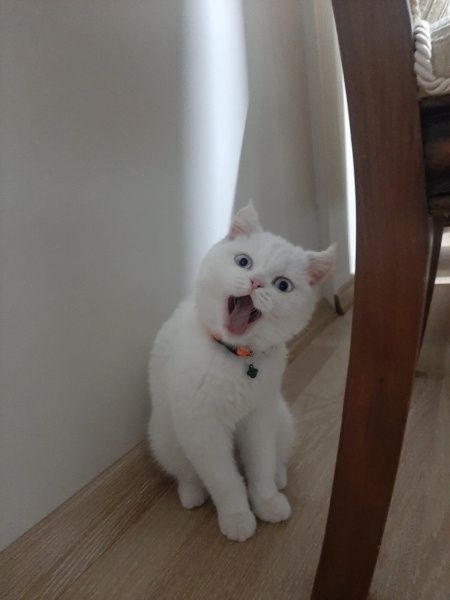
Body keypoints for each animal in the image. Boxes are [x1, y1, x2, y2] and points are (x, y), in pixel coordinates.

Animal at [148, 203, 334, 544]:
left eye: (283, 285)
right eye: (243, 262)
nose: (257, 281)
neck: (235, 357)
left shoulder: (259, 419)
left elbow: (260, 467)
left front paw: (267, 502)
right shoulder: (203, 429)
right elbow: (225, 481)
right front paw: (237, 517)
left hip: (281, 419)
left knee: (275, 459)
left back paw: (279, 479)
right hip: (165, 437)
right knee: (187, 473)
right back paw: (192, 494)